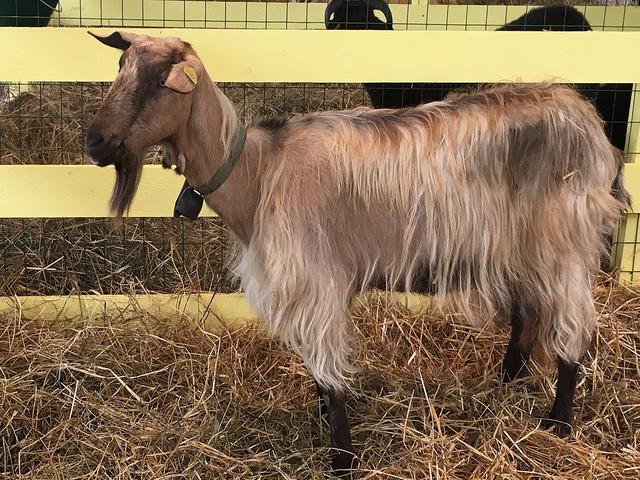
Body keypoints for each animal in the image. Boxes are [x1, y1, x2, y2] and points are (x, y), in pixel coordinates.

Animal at [86, 32, 627, 476]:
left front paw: (342, 459)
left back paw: (557, 424)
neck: (258, 172)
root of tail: (590, 121)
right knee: (528, 313)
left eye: (159, 81)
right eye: (120, 67)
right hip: (519, 246)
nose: (94, 143)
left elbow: (329, 374)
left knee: (573, 327)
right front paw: (323, 426)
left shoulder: (316, 281)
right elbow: (317, 374)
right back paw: (506, 382)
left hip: (562, 244)